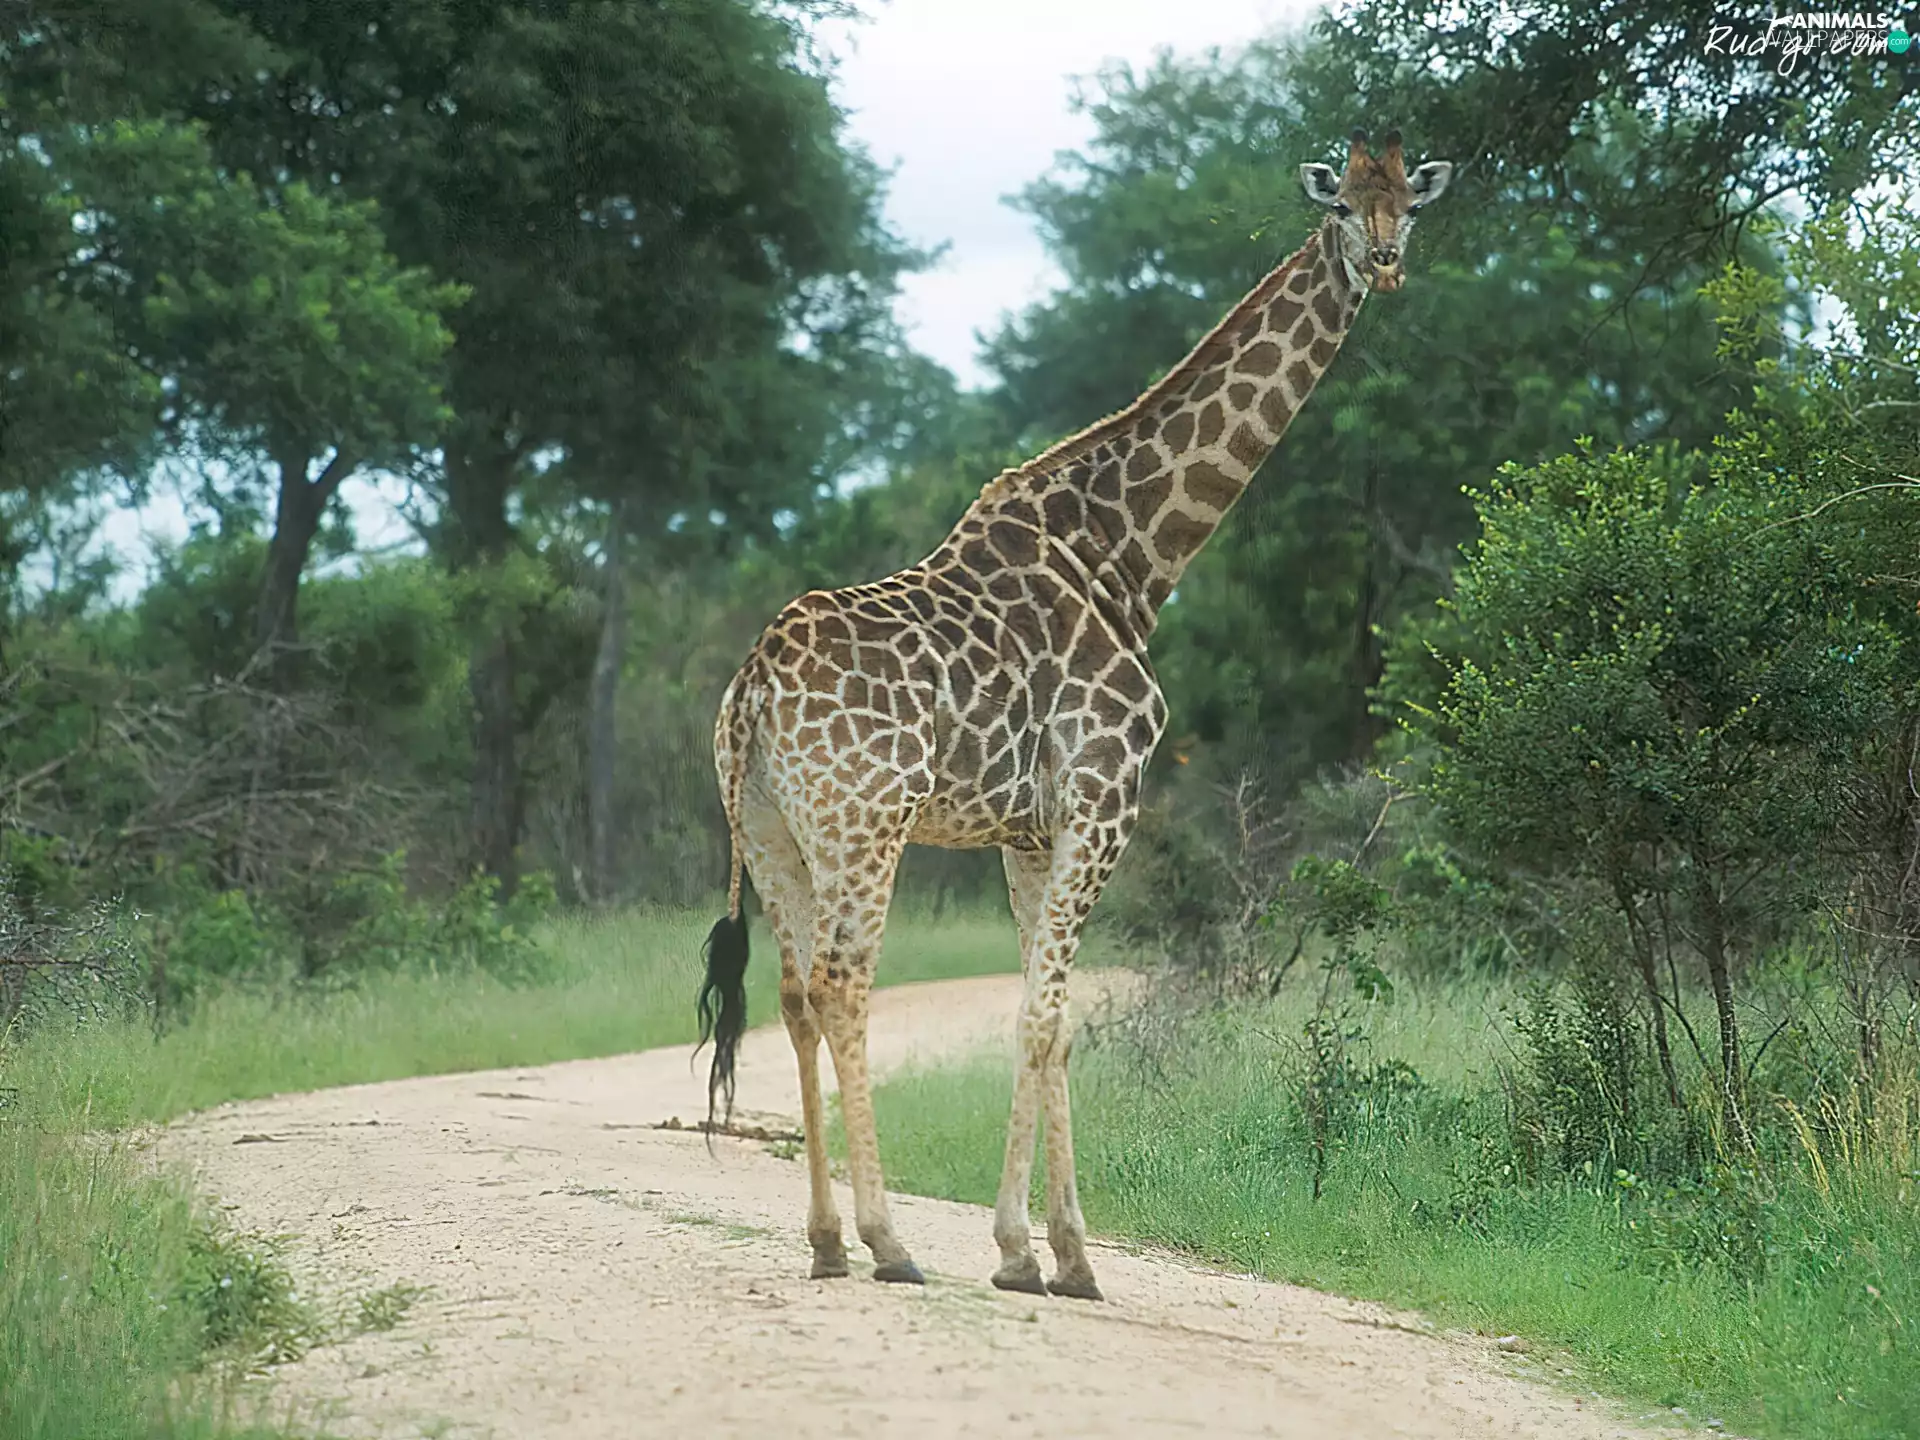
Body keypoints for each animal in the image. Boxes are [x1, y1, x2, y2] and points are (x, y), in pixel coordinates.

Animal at [696, 128, 1452, 1298]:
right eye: (1339, 208)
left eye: (1408, 204)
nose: (1383, 264)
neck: (1133, 555)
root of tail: (754, 691)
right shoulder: (1105, 799)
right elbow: (1050, 1012)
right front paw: (1030, 1254)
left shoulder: (1029, 831)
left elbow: (1045, 1019)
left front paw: (1059, 1251)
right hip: (865, 825)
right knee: (842, 984)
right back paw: (887, 1242)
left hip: (774, 833)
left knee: (790, 994)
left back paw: (823, 1242)